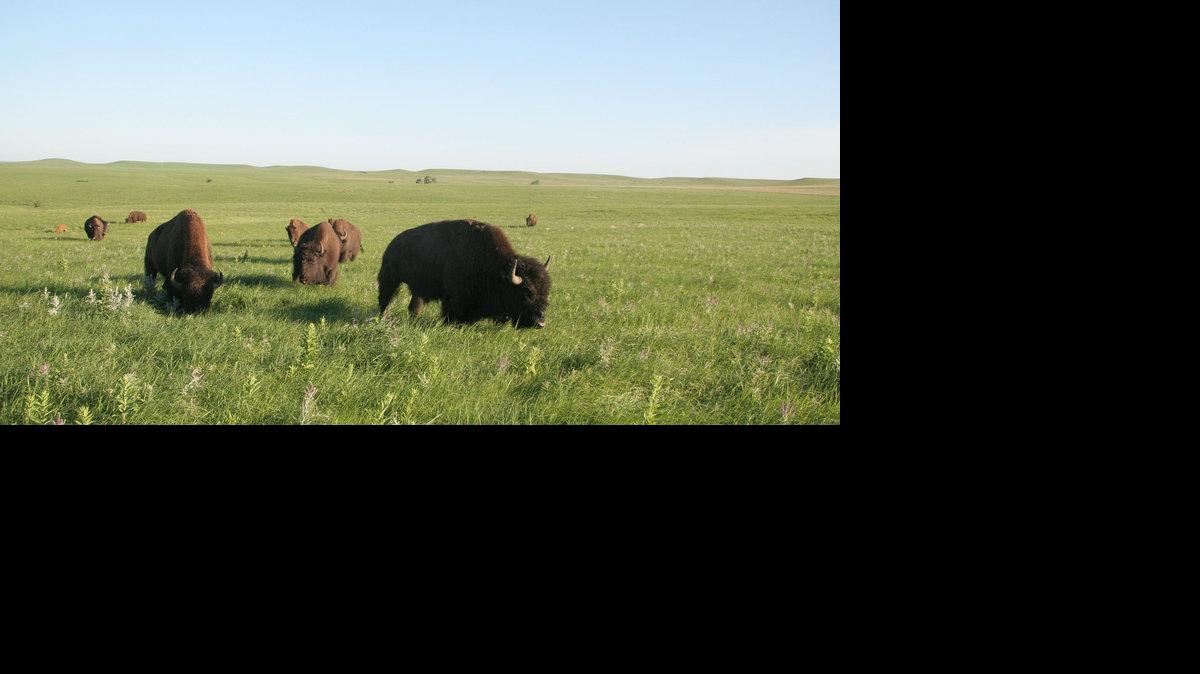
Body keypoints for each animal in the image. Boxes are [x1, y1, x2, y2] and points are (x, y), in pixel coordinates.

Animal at [378, 219, 552, 328]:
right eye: (528, 293)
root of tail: (393, 243)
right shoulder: (453, 298)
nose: (540, 323)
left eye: (546, 292)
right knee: (384, 300)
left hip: (417, 288)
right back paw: (382, 318)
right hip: (390, 279)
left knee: (414, 305)